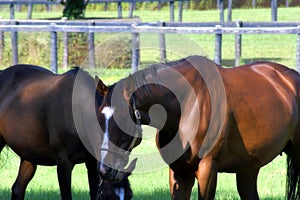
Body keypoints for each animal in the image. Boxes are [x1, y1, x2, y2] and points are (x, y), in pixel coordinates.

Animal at [0, 65, 132, 200]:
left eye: (129, 196)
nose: (110, 169)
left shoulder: (91, 163)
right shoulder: (64, 164)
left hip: (30, 156)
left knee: (18, 189)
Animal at [95, 55, 300, 200]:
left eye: (123, 119)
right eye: (99, 117)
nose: (105, 169)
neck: (186, 104)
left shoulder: (207, 168)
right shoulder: (179, 172)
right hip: (248, 168)